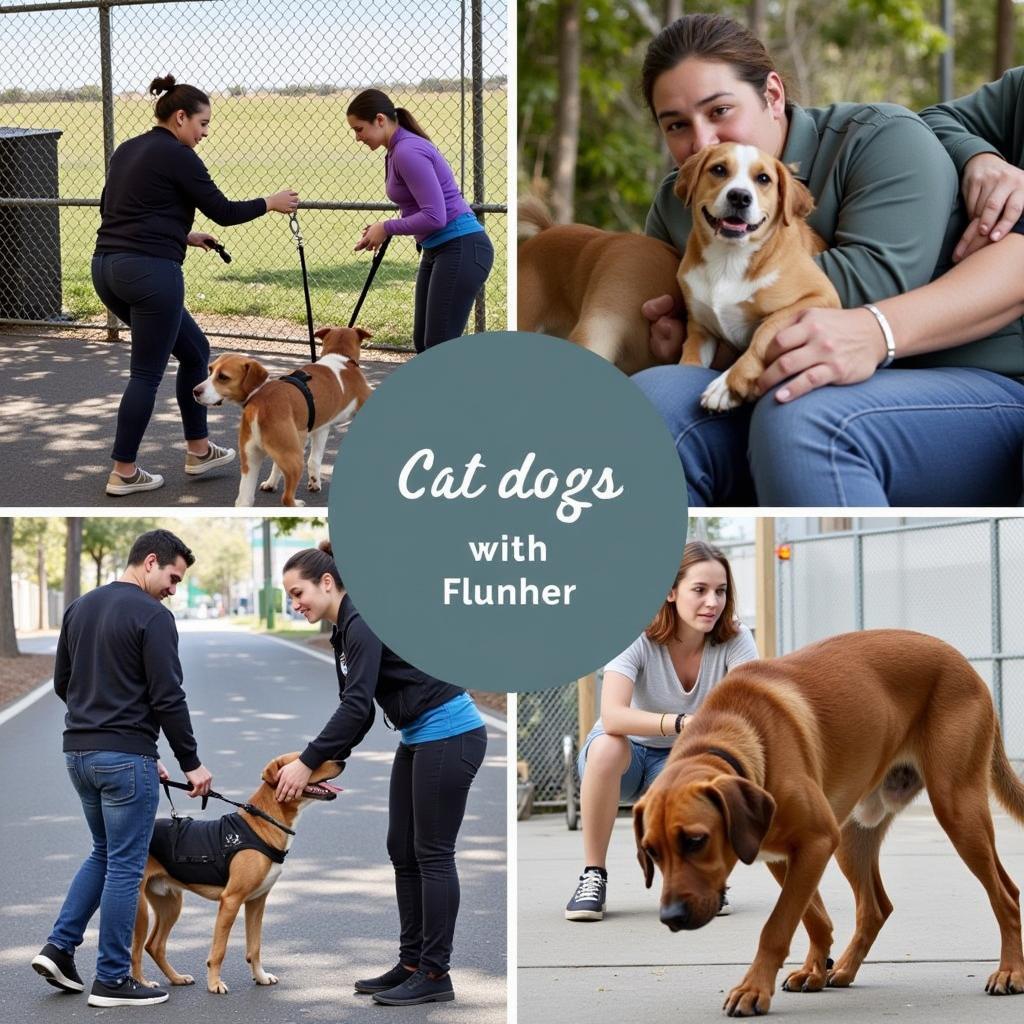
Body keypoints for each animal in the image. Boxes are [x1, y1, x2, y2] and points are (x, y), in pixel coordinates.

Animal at [130, 753, 339, 991]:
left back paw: (176, 978)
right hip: (139, 909)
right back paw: (142, 983)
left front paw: (261, 976)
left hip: (170, 904)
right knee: (135, 951)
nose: (342, 762)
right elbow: (218, 951)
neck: (261, 824)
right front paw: (214, 984)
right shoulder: (230, 901)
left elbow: (255, 947)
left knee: (154, 945)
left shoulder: (257, 901)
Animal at [192, 325, 372, 505]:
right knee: (286, 499)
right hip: (294, 459)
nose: (195, 391)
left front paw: (275, 483)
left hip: (252, 459)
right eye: (211, 371)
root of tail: (259, 404)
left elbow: (298, 463)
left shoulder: (317, 430)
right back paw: (298, 504)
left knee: (244, 500)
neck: (340, 356)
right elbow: (314, 458)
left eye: (222, 376)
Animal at [675, 141, 835, 411]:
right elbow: (689, 358)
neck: (728, 259)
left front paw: (727, 384)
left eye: (763, 179)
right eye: (719, 169)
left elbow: (767, 329)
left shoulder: (823, 297)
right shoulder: (700, 327)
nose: (740, 197)